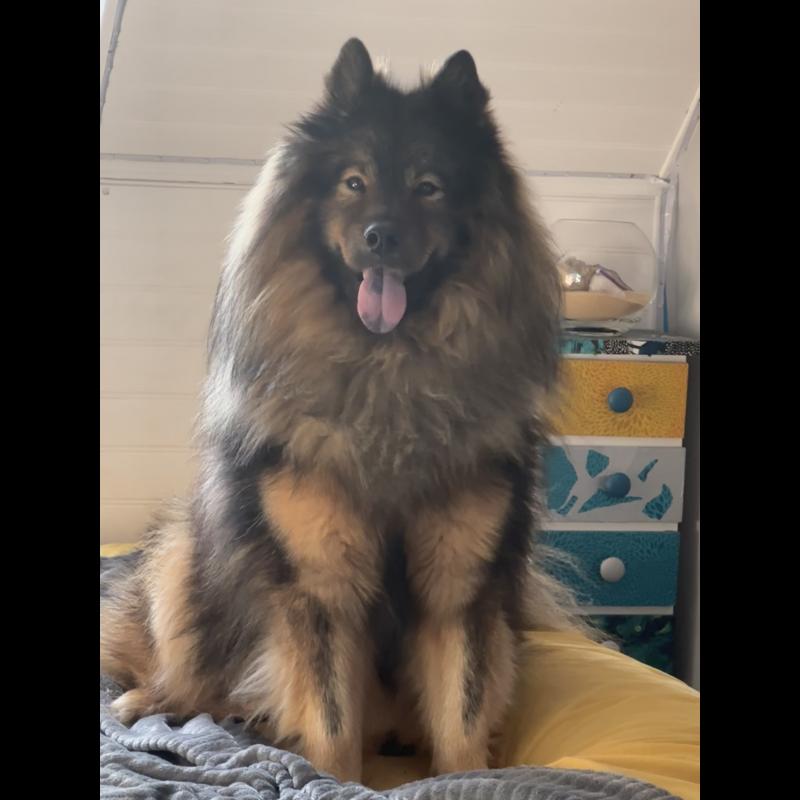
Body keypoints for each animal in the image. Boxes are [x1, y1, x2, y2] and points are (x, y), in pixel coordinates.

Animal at [100, 38, 577, 782]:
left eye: (428, 187)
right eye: (354, 182)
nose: (382, 236)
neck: (390, 377)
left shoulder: (457, 592)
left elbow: (463, 713)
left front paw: (468, 773)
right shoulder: (321, 590)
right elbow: (329, 720)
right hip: (185, 558)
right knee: (187, 668)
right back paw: (149, 701)